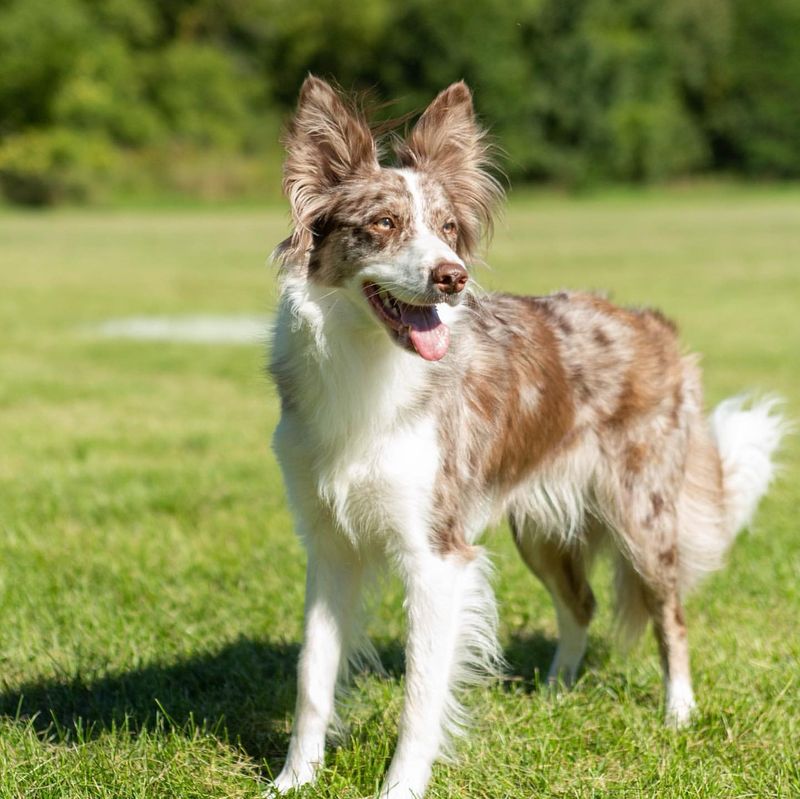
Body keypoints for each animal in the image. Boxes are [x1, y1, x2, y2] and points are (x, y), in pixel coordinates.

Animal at [266, 76, 784, 799]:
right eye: (383, 225)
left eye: (448, 229)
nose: (452, 275)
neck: (367, 365)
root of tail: (651, 322)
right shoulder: (329, 545)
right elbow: (312, 675)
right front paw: (293, 779)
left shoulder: (436, 554)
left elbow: (421, 694)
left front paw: (400, 787)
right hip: (540, 529)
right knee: (583, 603)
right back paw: (559, 691)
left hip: (642, 517)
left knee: (671, 614)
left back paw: (679, 712)